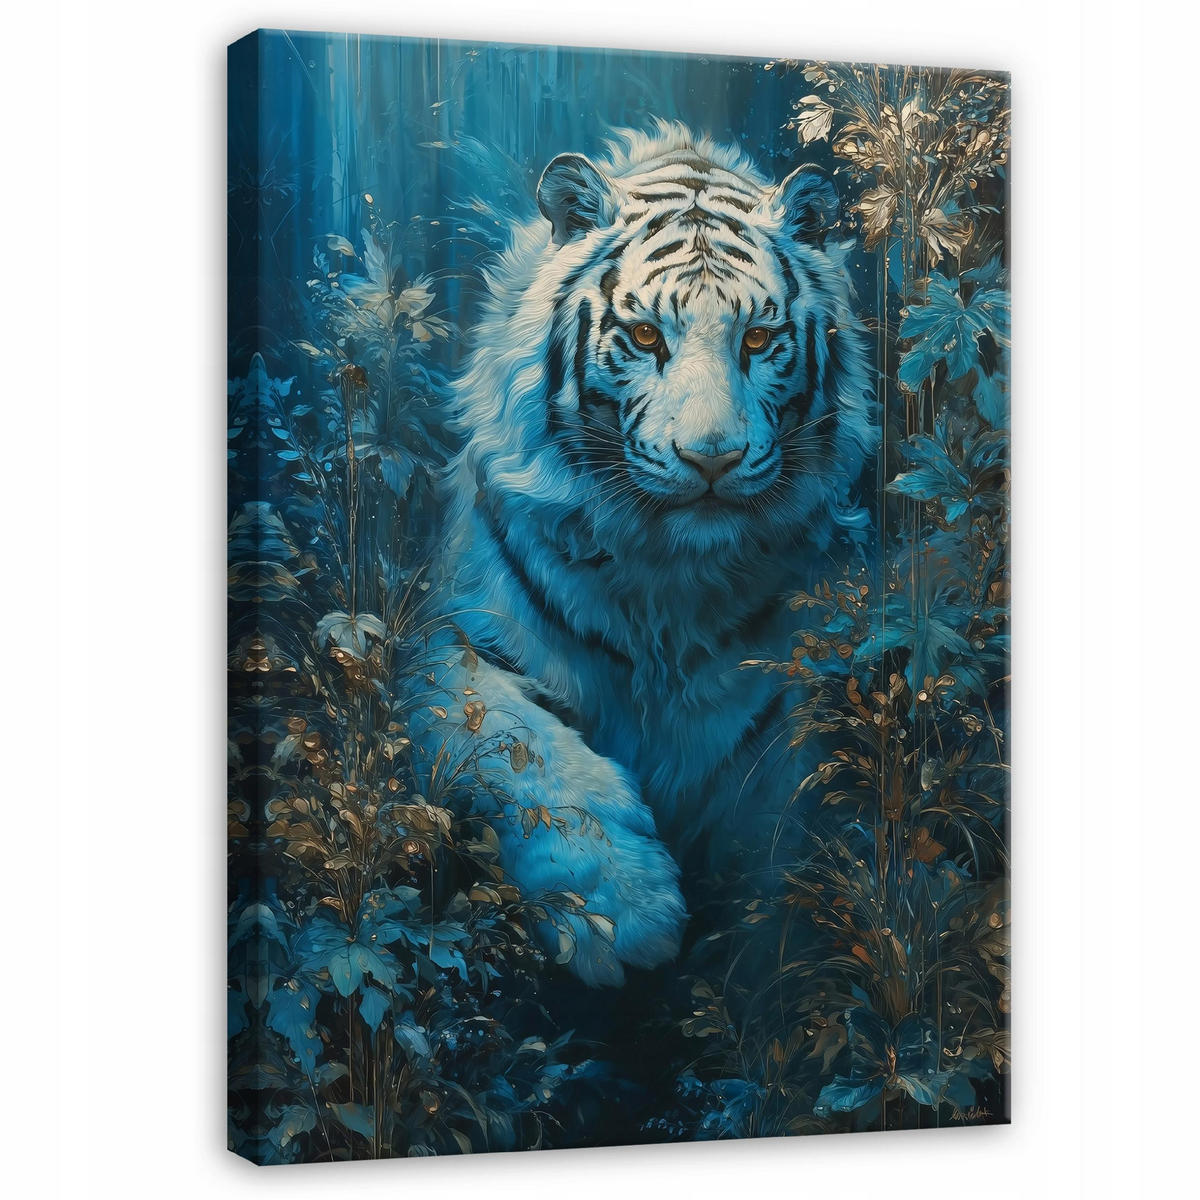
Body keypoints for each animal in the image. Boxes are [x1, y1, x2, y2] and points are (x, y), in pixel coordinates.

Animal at [406, 122, 876, 987]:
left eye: (759, 338)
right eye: (647, 336)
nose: (712, 459)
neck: (668, 580)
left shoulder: (786, 701)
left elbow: (783, 841)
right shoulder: (448, 642)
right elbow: (525, 748)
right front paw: (619, 914)